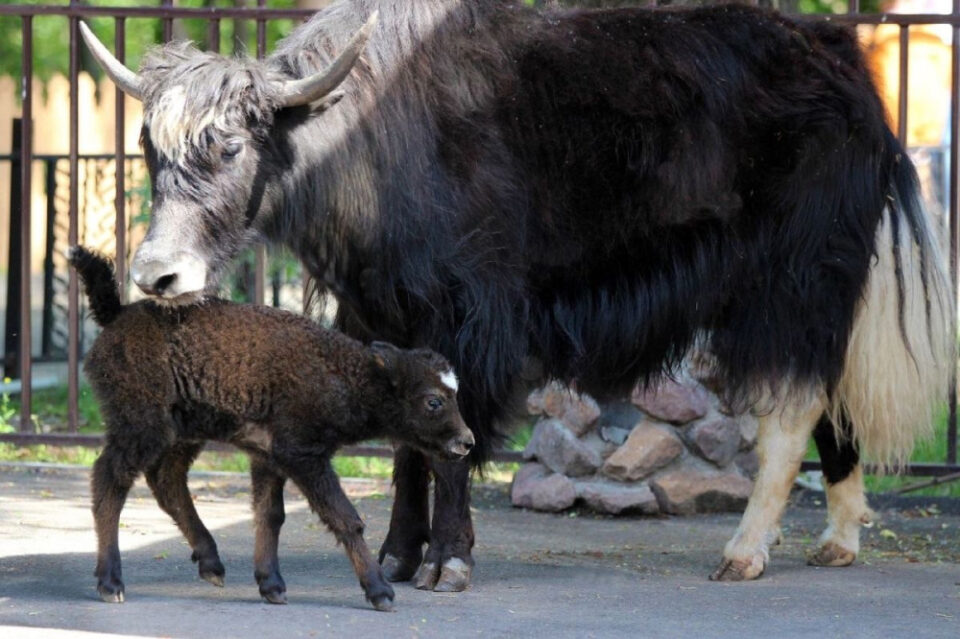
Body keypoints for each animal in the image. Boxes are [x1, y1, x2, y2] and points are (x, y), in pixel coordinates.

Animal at [69, 248, 474, 612]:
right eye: (433, 401)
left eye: (456, 394)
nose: (466, 442)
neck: (344, 373)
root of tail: (116, 314)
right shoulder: (303, 455)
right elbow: (345, 518)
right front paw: (380, 592)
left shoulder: (267, 455)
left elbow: (270, 514)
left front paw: (272, 586)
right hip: (140, 426)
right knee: (110, 481)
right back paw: (111, 583)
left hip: (181, 433)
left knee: (166, 481)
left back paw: (211, 564)